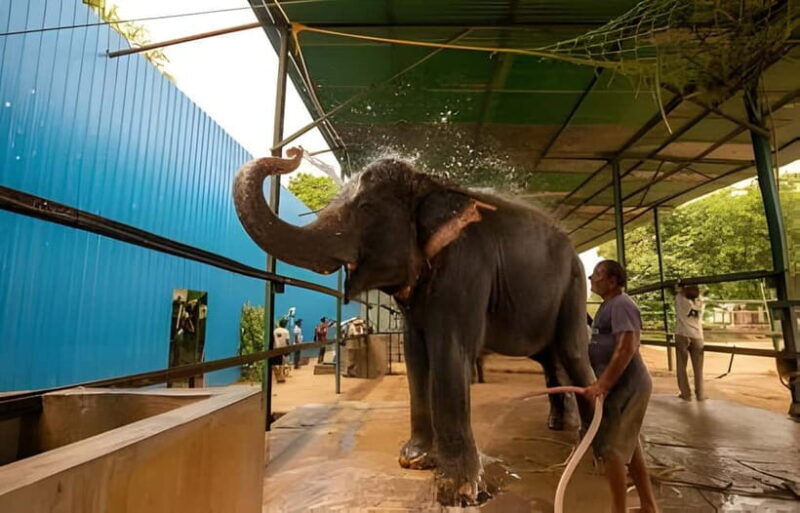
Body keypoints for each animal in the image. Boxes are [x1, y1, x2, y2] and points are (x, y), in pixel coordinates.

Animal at [233, 149, 595, 506]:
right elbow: (415, 354)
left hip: (574, 284)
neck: (429, 183)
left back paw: (588, 446)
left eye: (366, 207)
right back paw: (559, 425)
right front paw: (414, 460)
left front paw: (459, 492)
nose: (293, 152)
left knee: (572, 352)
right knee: (550, 358)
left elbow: (450, 351)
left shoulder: (466, 264)